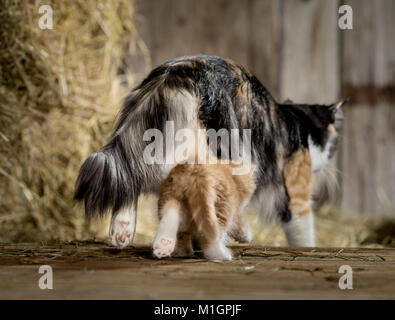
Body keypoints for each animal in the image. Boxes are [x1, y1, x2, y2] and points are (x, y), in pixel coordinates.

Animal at [75, 55, 346, 249]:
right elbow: (303, 233)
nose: (325, 162)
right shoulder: (295, 194)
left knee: (132, 181)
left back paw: (124, 231)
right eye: (332, 146)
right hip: (227, 151)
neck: (296, 122)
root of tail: (175, 73)